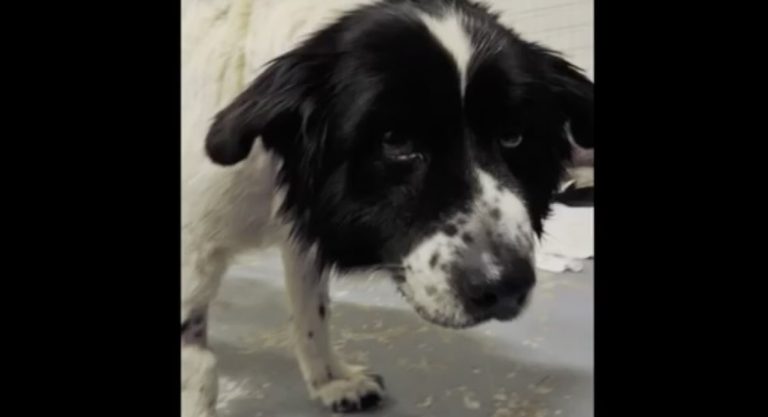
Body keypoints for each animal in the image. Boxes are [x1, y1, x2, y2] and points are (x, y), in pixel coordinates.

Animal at [180, 0, 592, 412]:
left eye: (512, 136)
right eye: (395, 141)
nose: (505, 287)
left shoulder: (302, 231)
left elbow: (312, 310)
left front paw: (332, 381)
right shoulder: (192, 251)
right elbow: (198, 368)